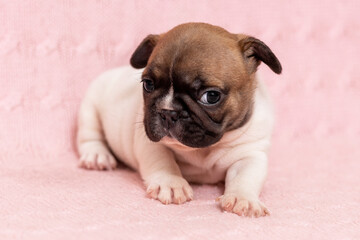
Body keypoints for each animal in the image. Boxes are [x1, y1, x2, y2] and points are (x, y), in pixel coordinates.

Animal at [77, 23, 282, 218]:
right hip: (90, 107)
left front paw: (243, 198)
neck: (204, 149)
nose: (168, 112)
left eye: (211, 96)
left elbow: (246, 175)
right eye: (148, 84)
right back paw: (97, 156)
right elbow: (163, 161)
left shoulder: (251, 152)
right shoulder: (150, 144)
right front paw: (171, 183)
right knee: (89, 135)